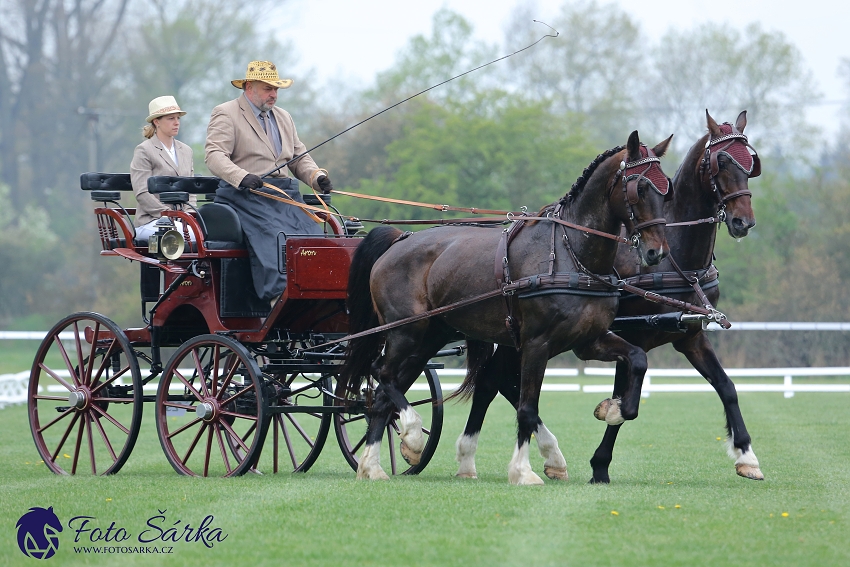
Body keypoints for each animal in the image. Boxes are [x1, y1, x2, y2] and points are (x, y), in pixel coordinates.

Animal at [342, 131, 672, 486]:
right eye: (639, 188)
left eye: (666, 187)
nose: (657, 252)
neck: (571, 255)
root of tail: (399, 239)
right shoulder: (537, 345)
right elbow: (527, 408)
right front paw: (523, 471)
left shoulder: (589, 341)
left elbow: (637, 360)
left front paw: (613, 409)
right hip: (405, 333)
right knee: (382, 374)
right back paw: (412, 436)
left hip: (428, 339)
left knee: (383, 395)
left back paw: (373, 465)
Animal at [450, 110, 760, 484]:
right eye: (722, 161)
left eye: (751, 163)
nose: (744, 222)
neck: (677, 258)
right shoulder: (631, 334)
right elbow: (623, 398)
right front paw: (601, 460)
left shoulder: (690, 336)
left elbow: (726, 386)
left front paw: (746, 455)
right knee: (494, 384)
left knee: (496, 383)